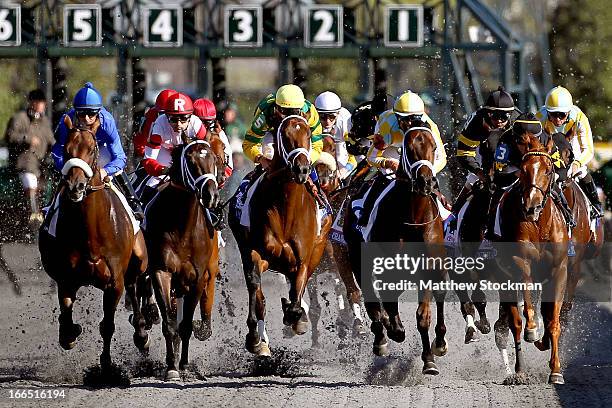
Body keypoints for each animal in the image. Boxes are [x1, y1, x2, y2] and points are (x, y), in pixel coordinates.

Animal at [39, 116, 148, 372]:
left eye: (92, 149)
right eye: (66, 150)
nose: (76, 186)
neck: (90, 233)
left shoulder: (114, 282)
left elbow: (107, 325)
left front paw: (106, 365)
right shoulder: (66, 279)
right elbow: (67, 316)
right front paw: (70, 333)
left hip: (138, 259)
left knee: (134, 285)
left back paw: (141, 333)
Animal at [143, 135, 220, 380]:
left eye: (214, 159)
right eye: (190, 161)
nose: (211, 195)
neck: (182, 227)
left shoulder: (197, 278)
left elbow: (185, 325)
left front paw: (184, 365)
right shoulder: (162, 272)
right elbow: (170, 323)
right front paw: (171, 367)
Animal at [230, 115, 332, 356]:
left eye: (308, 134)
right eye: (284, 136)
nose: (302, 169)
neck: (286, 208)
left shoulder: (302, 260)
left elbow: (296, 295)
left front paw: (296, 317)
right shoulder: (257, 253)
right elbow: (257, 292)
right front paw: (255, 339)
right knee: (260, 297)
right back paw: (263, 343)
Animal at [342, 122, 448, 374]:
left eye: (433, 147)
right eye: (408, 149)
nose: (426, 182)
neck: (413, 217)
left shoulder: (426, 268)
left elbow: (423, 315)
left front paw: (429, 359)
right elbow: (384, 304)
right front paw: (392, 331)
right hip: (358, 257)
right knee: (373, 300)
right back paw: (382, 336)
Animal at [492, 133, 568, 382]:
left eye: (548, 169)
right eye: (523, 170)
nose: (531, 207)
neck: (539, 225)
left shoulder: (559, 271)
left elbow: (554, 321)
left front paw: (556, 370)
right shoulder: (520, 262)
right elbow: (526, 306)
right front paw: (533, 329)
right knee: (515, 323)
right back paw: (519, 369)